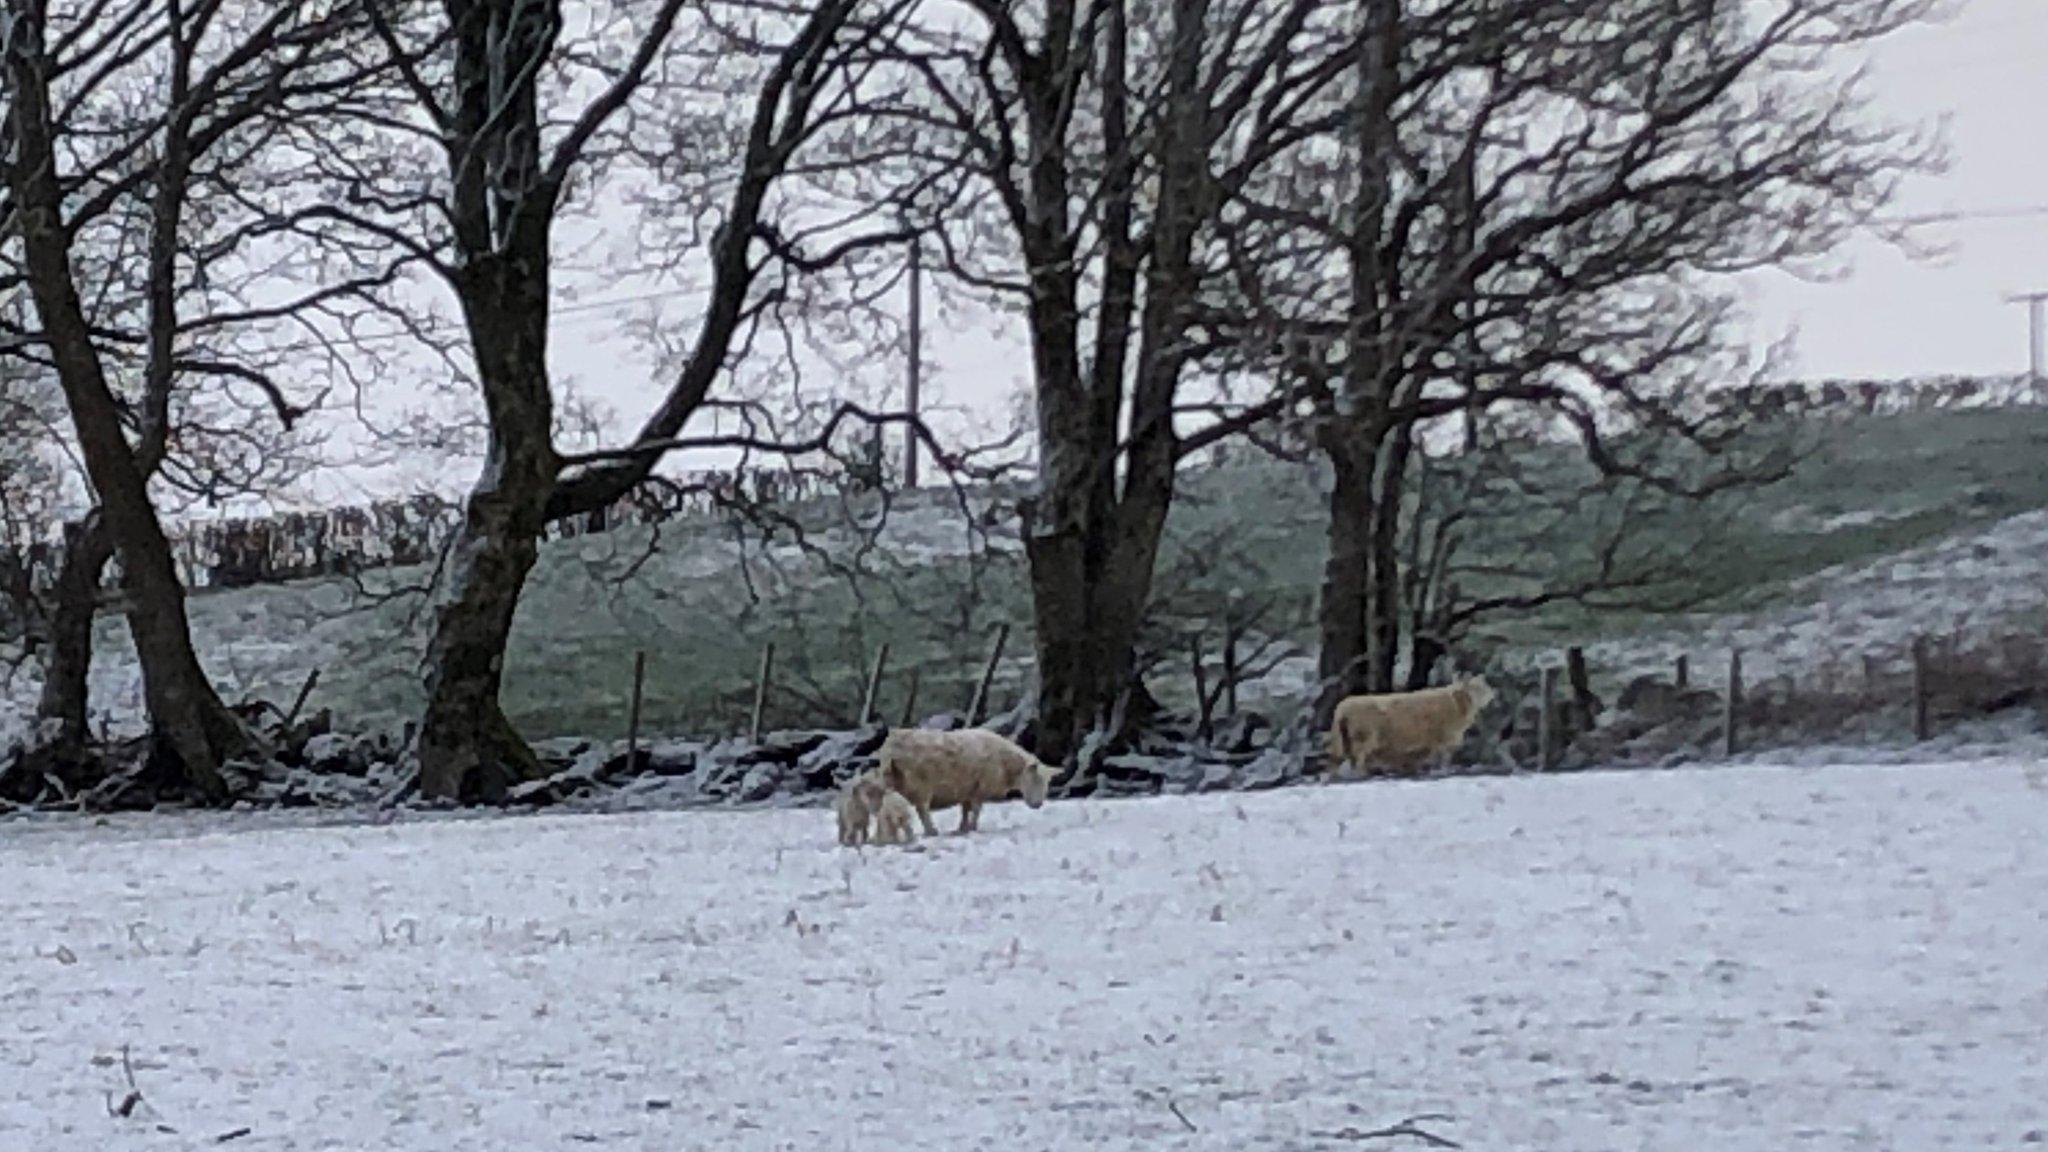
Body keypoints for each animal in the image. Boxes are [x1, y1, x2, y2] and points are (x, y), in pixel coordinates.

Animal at [880, 725, 1064, 832]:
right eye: (1035, 778)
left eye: (1047, 782)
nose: (1038, 804)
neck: (1006, 763)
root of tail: (893, 741)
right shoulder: (980, 789)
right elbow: (976, 810)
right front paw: (973, 827)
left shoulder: (967, 789)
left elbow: (965, 810)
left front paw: (963, 828)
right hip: (921, 786)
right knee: (922, 810)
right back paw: (931, 831)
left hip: (890, 781)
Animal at [1318, 672, 1499, 778]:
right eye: (1475, 688)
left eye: (1484, 685)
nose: (1492, 695)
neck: (1456, 705)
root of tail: (1342, 708)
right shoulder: (1442, 738)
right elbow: (1442, 758)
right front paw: (1441, 771)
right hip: (1363, 738)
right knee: (1359, 758)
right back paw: (1362, 775)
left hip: (1344, 740)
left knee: (1341, 761)